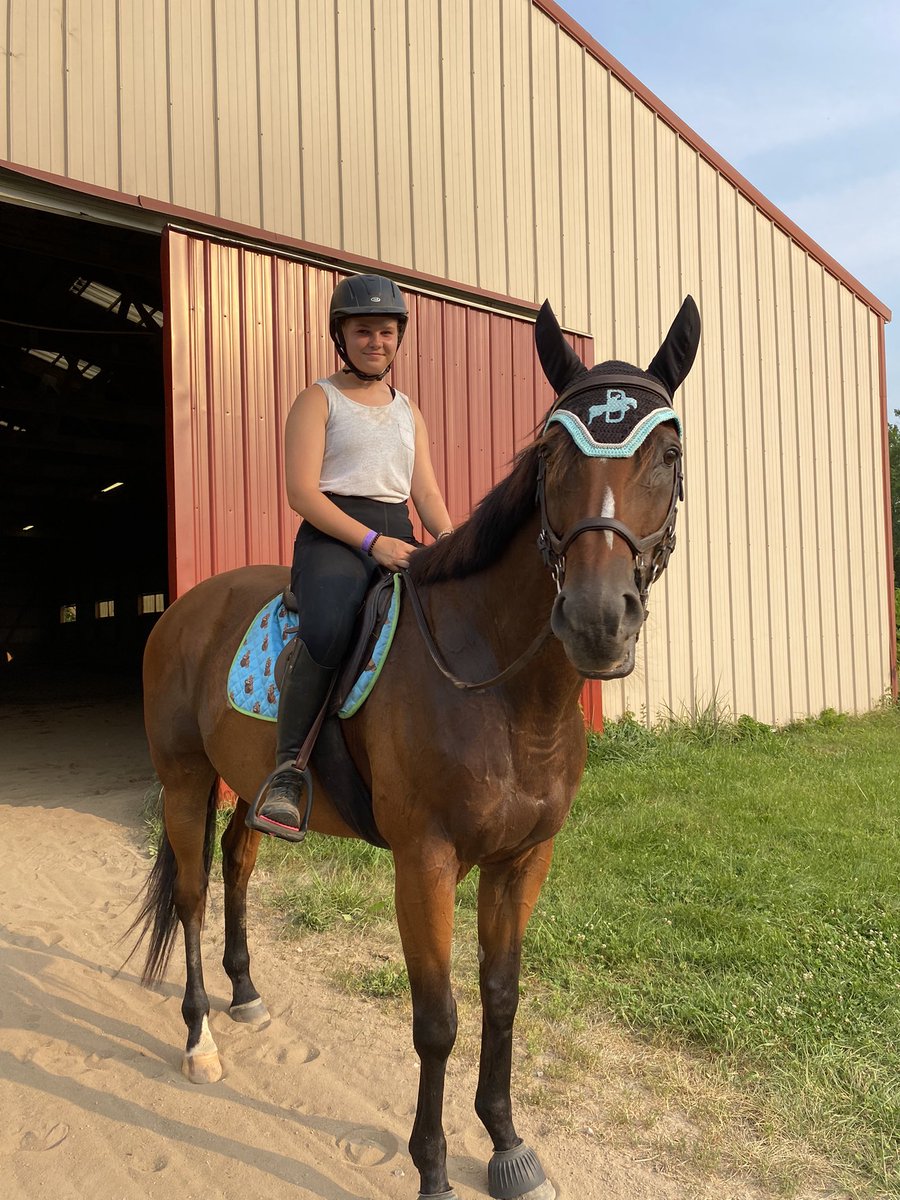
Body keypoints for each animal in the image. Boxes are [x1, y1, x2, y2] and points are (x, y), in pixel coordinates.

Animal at [132, 295, 700, 1200]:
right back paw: (199, 1042)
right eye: (551, 453)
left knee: (237, 866)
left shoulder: (524, 858)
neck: (501, 689)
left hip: (249, 788)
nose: (596, 620)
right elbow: (437, 1020)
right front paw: (432, 1169)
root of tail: (184, 607)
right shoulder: (424, 860)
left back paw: (246, 991)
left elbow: (501, 996)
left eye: (668, 453)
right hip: (183, 778)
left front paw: (507, 1144)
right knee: (190, 894)